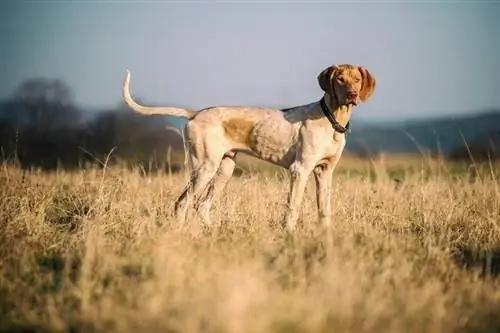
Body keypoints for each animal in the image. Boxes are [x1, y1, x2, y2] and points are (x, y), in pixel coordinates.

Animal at [123, 64, 376, 231]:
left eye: (356, 79)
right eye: (339, 79)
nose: (352, 94)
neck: (331, 119)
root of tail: (196, 113)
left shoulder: (325, 172)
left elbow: (325, 209)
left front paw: (326, 238)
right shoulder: (300, 170)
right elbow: (293, 206)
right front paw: (289, 235)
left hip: (224, 169)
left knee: (201, 205)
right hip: (205, 167)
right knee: (182, 202)